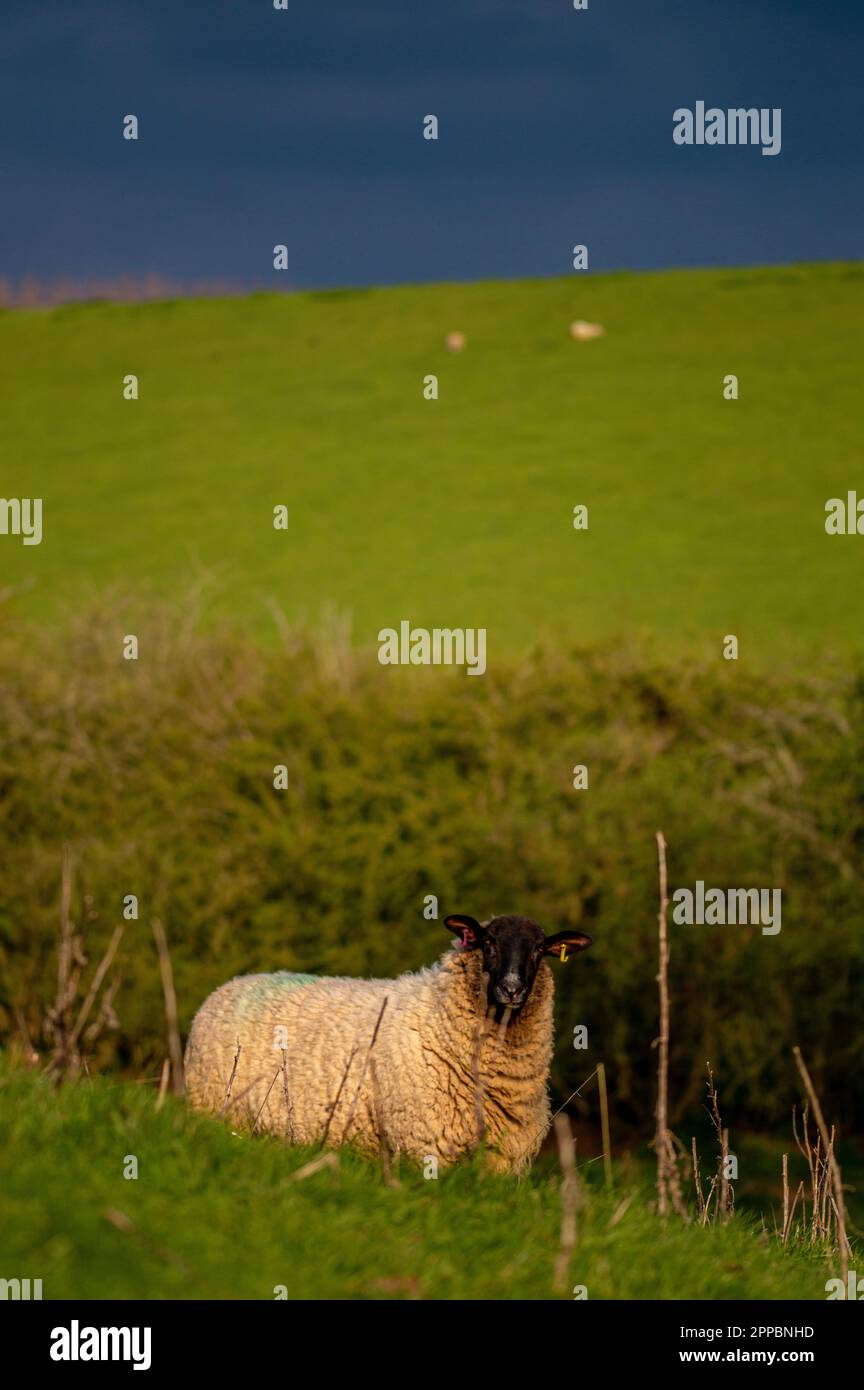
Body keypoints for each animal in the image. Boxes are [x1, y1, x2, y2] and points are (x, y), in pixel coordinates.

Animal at [184, 913, 592, 1173]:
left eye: (540, 949)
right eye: (488, 942)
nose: (512, 988)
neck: (439, 1015)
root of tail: (229, 986)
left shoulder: (502, 1159)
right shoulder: (426, 1144)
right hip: (215, 1108)